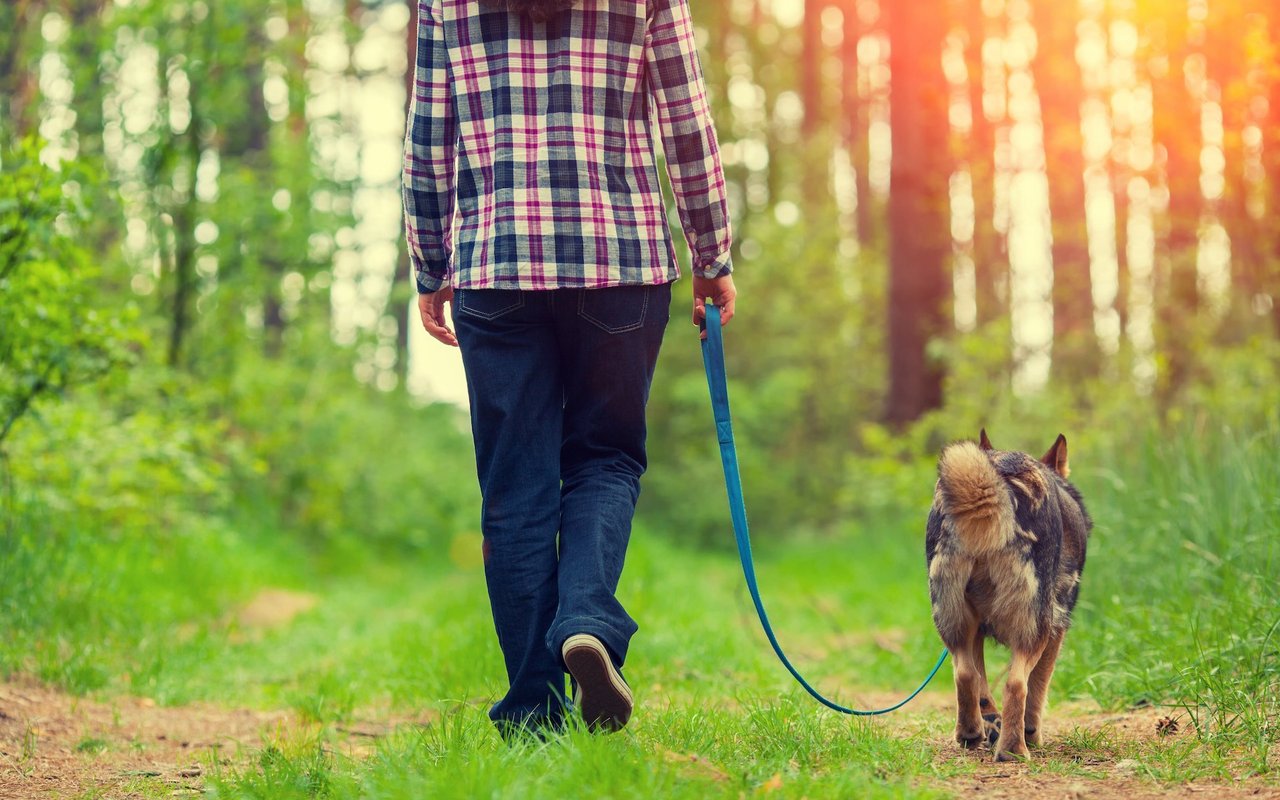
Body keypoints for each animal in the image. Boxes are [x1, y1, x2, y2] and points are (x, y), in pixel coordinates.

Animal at [926, 430, 1095, 762]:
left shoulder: (977, 630)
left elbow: (981, 684)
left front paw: (991, 723)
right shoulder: (1056, 630)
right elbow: (1038, 686)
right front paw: (1031, 732)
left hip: (953, 623)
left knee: (965, 675)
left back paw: (970, 733)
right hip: (1034, 628)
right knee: (1016, 684)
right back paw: (1013, 749)